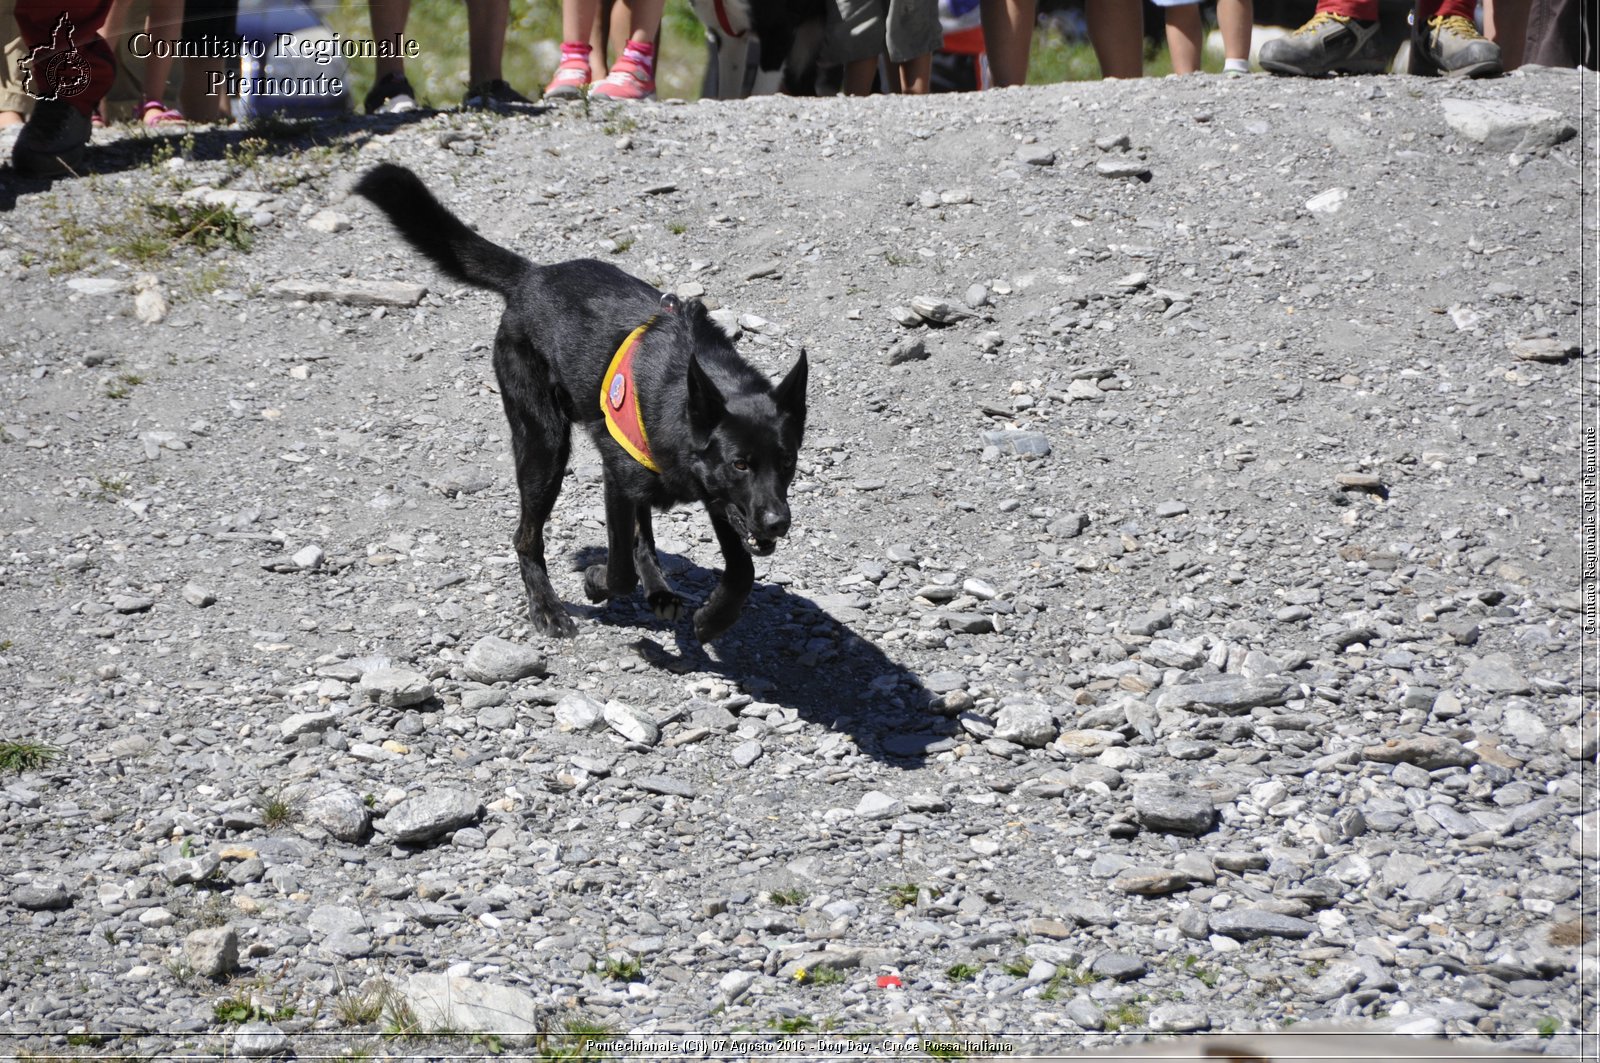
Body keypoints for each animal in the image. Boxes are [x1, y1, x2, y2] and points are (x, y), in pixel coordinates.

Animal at [348, 163, 800, 643]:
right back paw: (546, 606)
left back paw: (657, 588)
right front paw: (596, 582)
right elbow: (620, 570)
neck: (685, 393)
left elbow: (741, 569)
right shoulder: (636, 479)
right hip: (545, 449)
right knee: (527, 537)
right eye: (740, 463)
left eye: (788, 462)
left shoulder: (716, 495)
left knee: (642, 531)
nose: (778, 523)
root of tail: (531, 276)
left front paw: (714, 618)